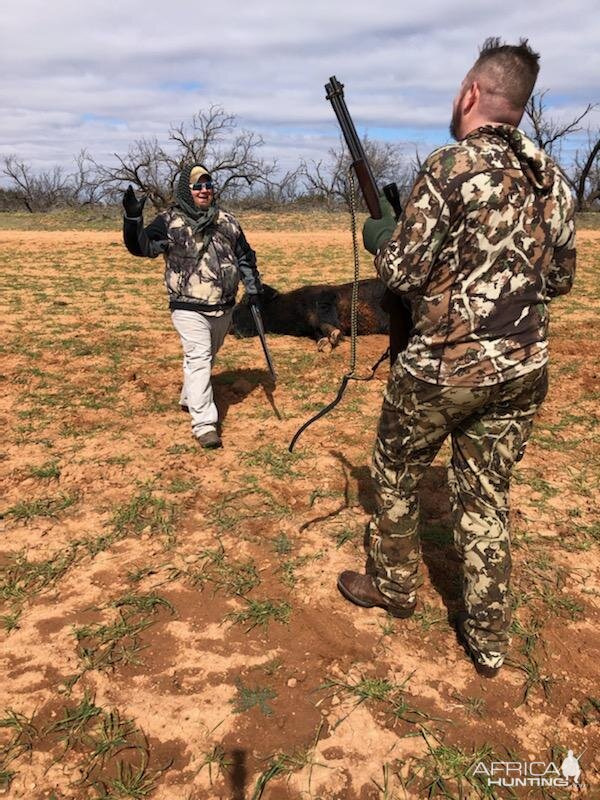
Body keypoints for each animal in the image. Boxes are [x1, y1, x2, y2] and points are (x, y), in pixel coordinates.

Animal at [230, 278, 390, 350]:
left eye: (245, 301)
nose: (231, 324)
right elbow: (318, 330)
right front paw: (325, 343)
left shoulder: (324, 302)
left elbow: (324, 322)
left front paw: (334, 336)